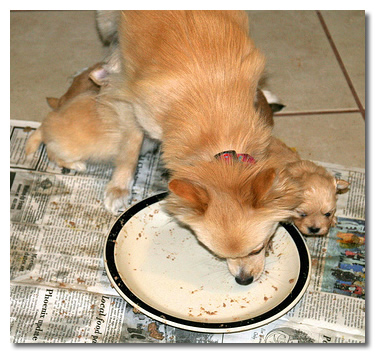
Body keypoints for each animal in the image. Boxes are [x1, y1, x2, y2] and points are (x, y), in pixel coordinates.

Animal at [94, 10, 302, 284]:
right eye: (218, 255)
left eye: (259, 247)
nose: (244, 280)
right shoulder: (133, 106)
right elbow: (130, 146)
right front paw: (119, 187)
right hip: (106, 21)